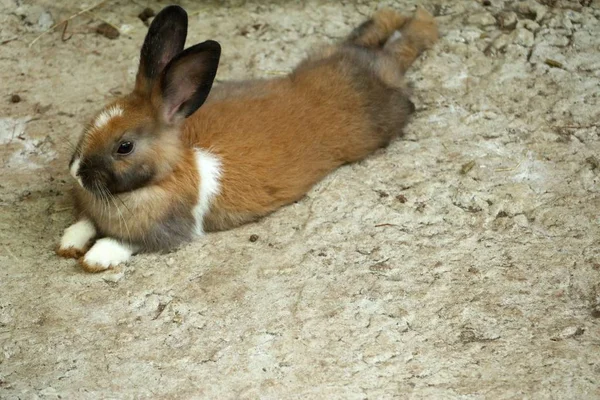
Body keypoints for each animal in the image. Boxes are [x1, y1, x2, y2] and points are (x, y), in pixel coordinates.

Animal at [56, 5, 438, 272]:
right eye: (93, 119)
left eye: (125, 146)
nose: (75, 172)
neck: (160, 178)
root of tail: (381, 66)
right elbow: (85, 222)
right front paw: (69, 242)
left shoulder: (170, 231)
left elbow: (125, 241)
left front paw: (96, 258)